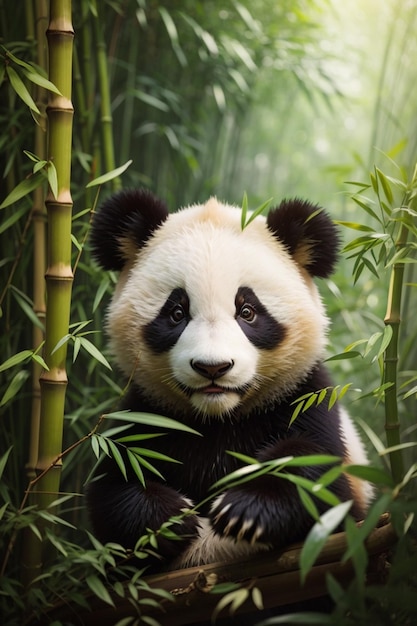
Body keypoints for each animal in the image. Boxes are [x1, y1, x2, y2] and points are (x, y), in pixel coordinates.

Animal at [87, 189, 370, 572]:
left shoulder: (304, 398)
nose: (213, 367)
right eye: (176, 312)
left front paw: (244, 511)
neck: (219, 418)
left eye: (247, 311)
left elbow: (318, 473)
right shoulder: (146, 413)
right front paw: (173, 519)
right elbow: (113, 485)